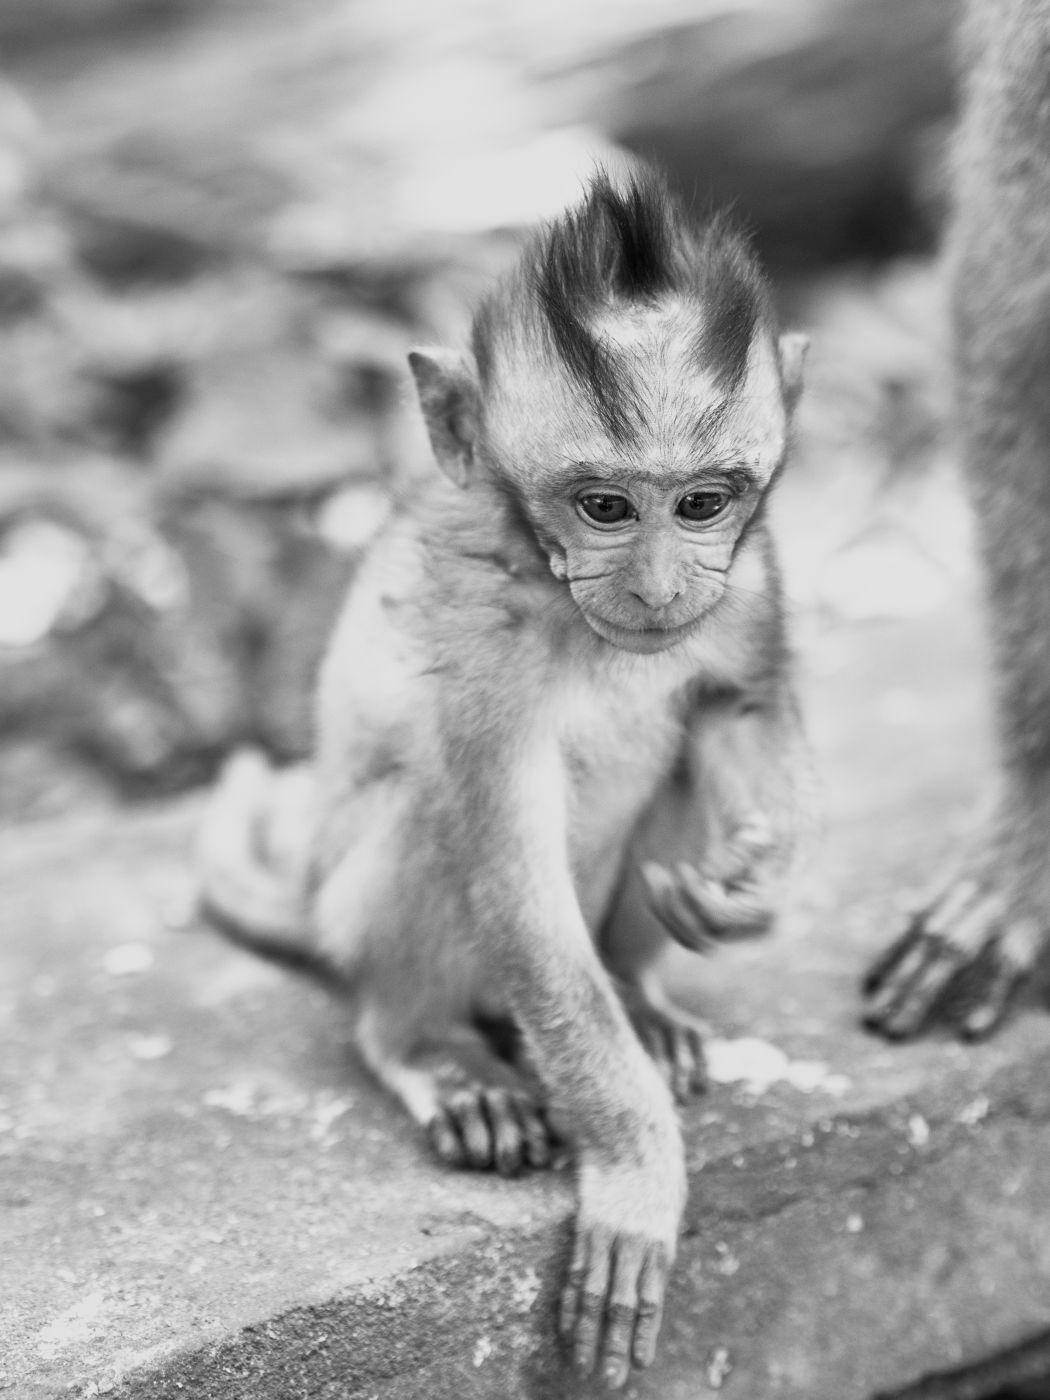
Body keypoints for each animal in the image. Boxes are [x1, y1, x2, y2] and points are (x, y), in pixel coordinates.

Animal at [197, 167, 808, 1388]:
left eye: (703, 503)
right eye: (605, 506)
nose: (661, 586)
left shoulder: (750, 579)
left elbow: (741, 704)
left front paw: (749, 886)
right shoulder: (486, 642)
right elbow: (511, 873)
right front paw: (638, 1174)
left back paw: (641, 995)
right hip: (361, 915)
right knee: (429, 831)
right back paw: (429, 1045)